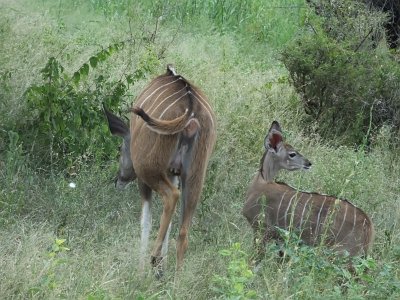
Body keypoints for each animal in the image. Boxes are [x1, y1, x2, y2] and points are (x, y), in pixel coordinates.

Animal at [103, 65, 216, 274]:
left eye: (119, 149)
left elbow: (145, 221)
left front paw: (141, 272)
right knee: (183, 233)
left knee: (171, 196)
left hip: (149, 169)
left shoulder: (144, 179)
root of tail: (191, 112)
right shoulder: (173, 174)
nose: (118, 180)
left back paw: (154, 259)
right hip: (195, 175)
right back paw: (174, 278)